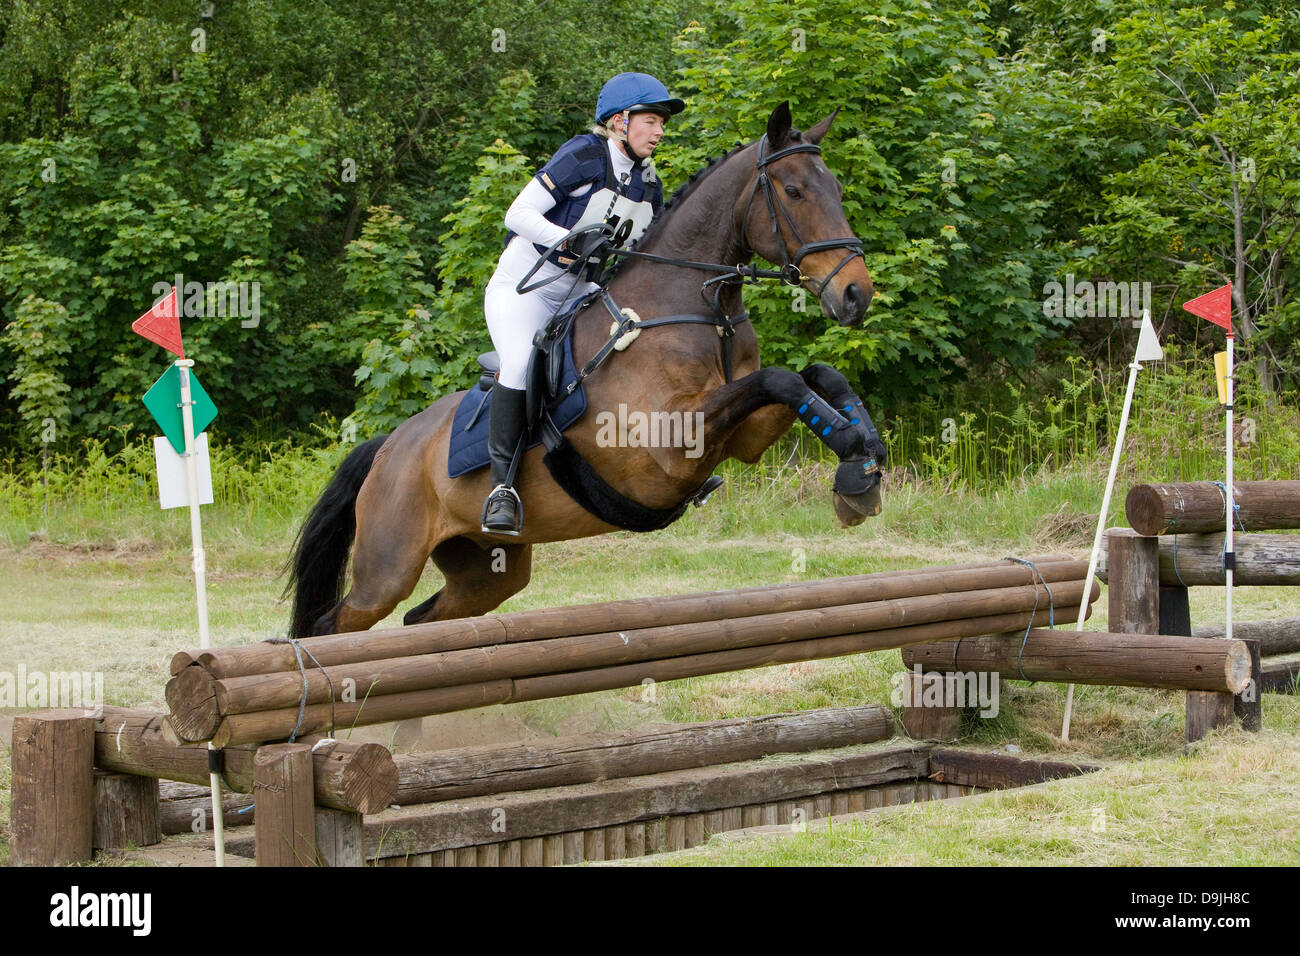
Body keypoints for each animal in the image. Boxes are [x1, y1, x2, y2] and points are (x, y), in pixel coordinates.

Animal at [288, 100, 889, 639]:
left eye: (835, 191)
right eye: (794, 192)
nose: (855, 294)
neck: (699, 308)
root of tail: (390, 447)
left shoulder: (741, 435)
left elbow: (813, 376)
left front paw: (863, 461)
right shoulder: (670, 444)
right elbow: (780, 379)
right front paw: (855, 460)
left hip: (487, 569)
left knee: (422, 620)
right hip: (387, 566)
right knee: (334, 624)